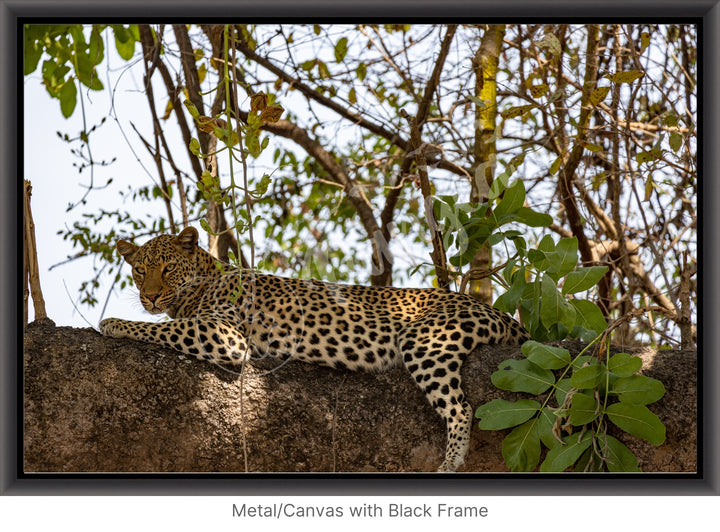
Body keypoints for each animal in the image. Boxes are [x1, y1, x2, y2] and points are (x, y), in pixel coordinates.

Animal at [100, 227, 528, 472]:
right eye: (139, 270)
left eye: (167, 269)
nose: (150, 296)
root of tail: (503, 314)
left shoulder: (224, 333)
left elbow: (165, 328)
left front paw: (112, 323)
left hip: (426, 340)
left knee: (461, 407)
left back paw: (452, 459)